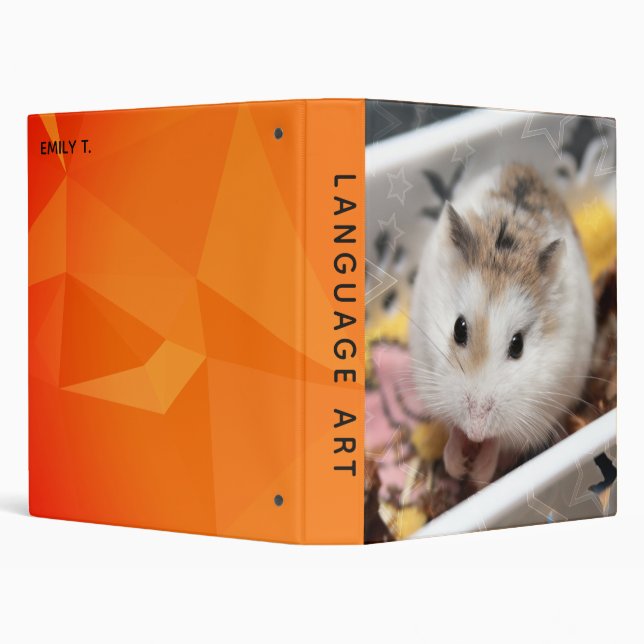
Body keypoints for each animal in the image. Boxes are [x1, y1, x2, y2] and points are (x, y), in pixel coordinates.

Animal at [409, 164, 595, 486]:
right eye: (459, 328)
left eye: (518, 345)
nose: (476, 430)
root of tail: (525, 166)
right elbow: (453, 429)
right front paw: (457, 465)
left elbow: (497, 441)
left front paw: (477, 473)